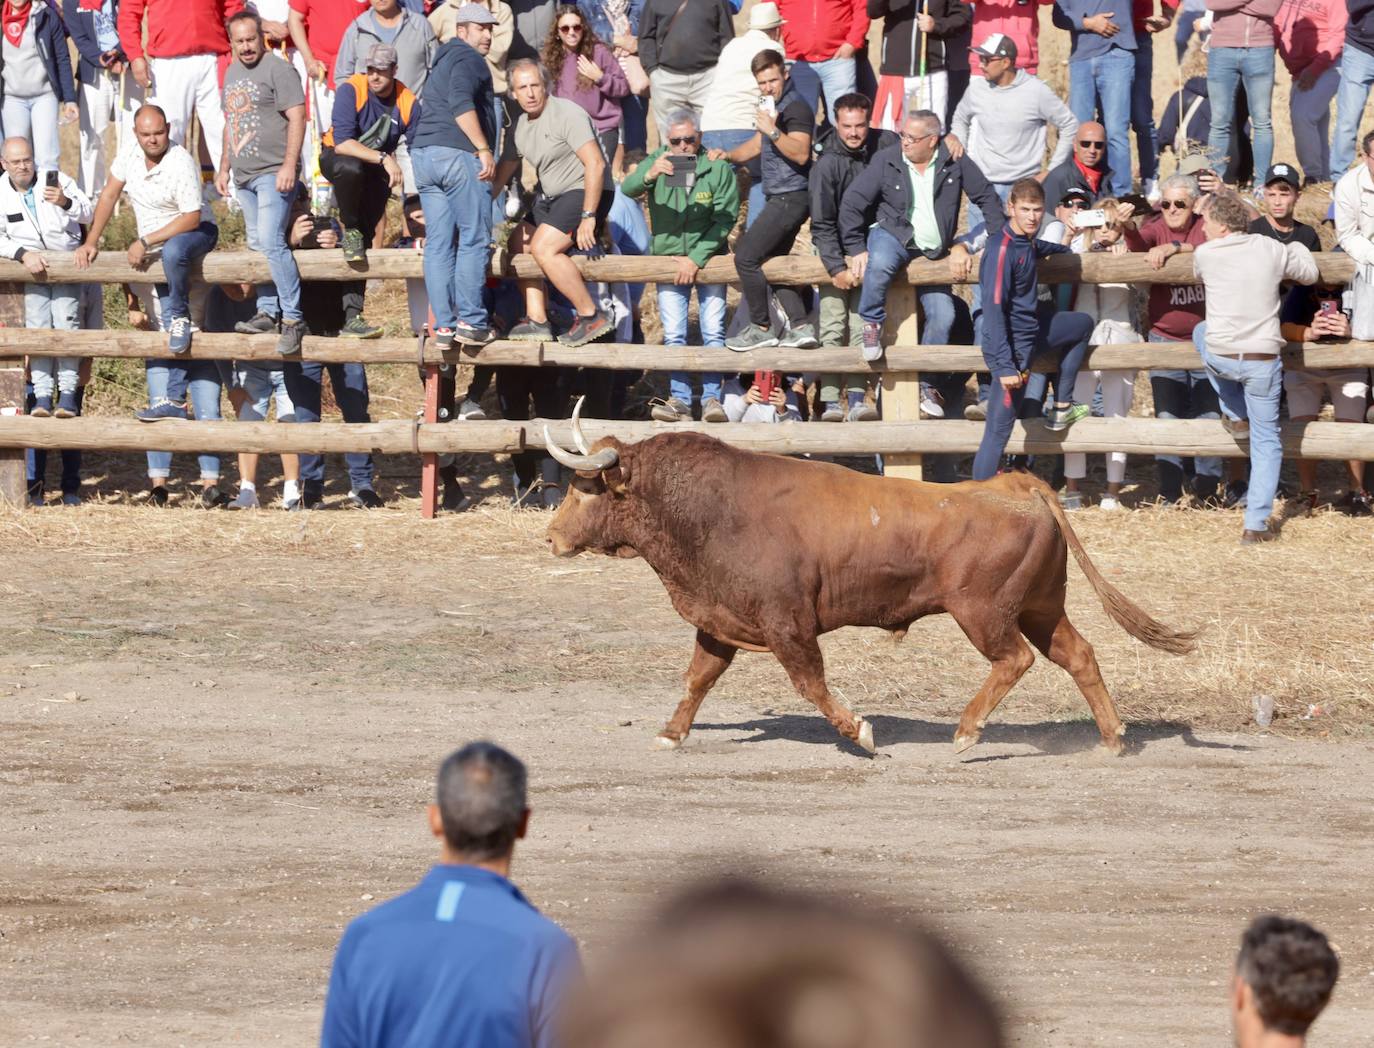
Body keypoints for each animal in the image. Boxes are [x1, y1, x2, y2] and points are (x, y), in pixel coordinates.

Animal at [541, 406, 1198, 758]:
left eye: (583, 487)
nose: (550, 537)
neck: (709, 508)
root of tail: (1019, 484)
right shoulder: (719, 620)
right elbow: (698, 678)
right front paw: (671, 734)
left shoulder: (787, 624)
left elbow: (811, 683)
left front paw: (860, 732)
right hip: (1040, 607)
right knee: (1078, 654)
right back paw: (1111, 739)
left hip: (985, 613)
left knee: (1014, 660)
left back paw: (966, 732)